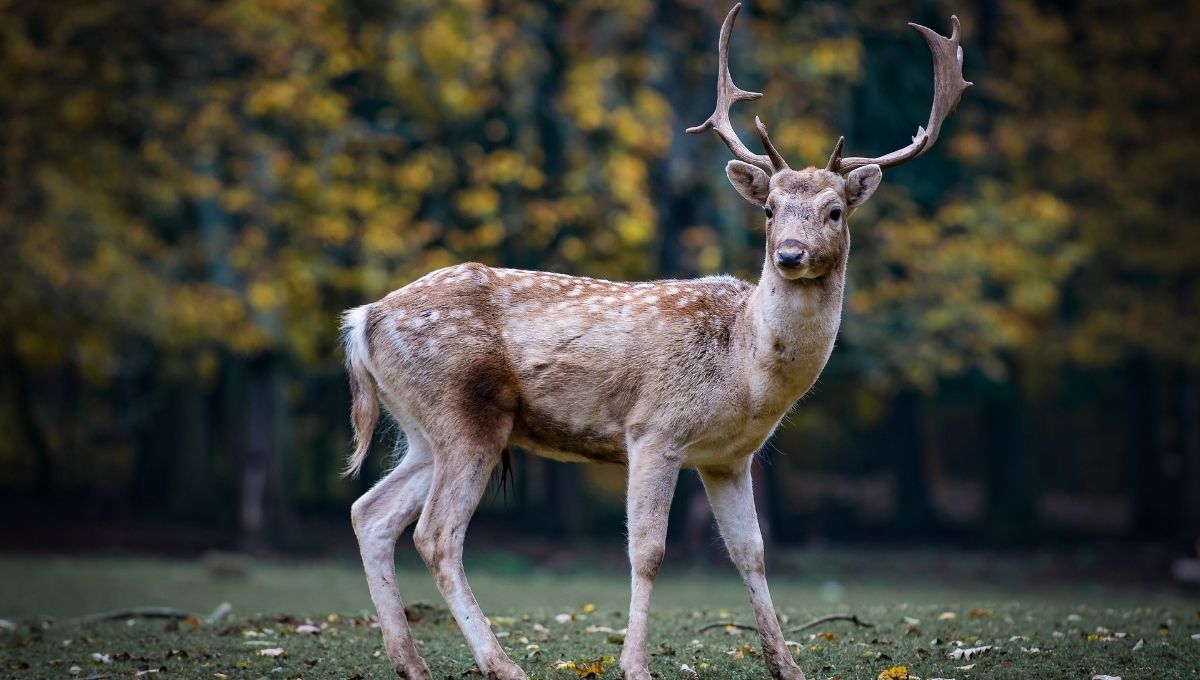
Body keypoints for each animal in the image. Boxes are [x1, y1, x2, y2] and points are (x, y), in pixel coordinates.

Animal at [342, 4, 969, 679]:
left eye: (835, 211)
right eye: (770, 209)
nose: (789, 255)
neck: (744, 369)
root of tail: (364, 319)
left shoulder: (729, 457)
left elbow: (751, 552)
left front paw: (787, 665)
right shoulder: (653, 430)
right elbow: (648, 551)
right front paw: (634, 664)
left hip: (421, 428)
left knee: (370, 513)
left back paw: (412, 663)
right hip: (464, 413)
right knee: (435, 535)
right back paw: (502, 664)